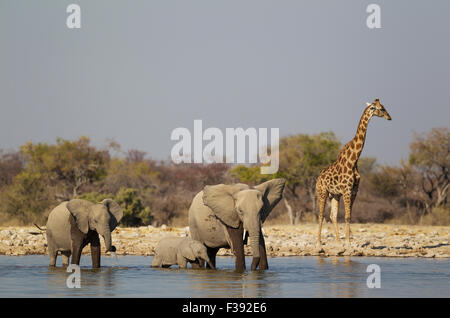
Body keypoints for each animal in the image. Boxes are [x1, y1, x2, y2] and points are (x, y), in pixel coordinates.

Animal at [316, 99, 390, 246]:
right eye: (381, 108)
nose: (389, 117)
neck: (354, 160)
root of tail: (318, 178)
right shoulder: (346, 190)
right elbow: (347, 216)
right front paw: (348, 242)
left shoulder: (354, 190)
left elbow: (349, 215)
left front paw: (347, 240)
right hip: (322, 192)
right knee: (321, 215)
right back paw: (319, 242)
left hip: (334, 195)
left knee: (332, 215)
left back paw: (338, 241)